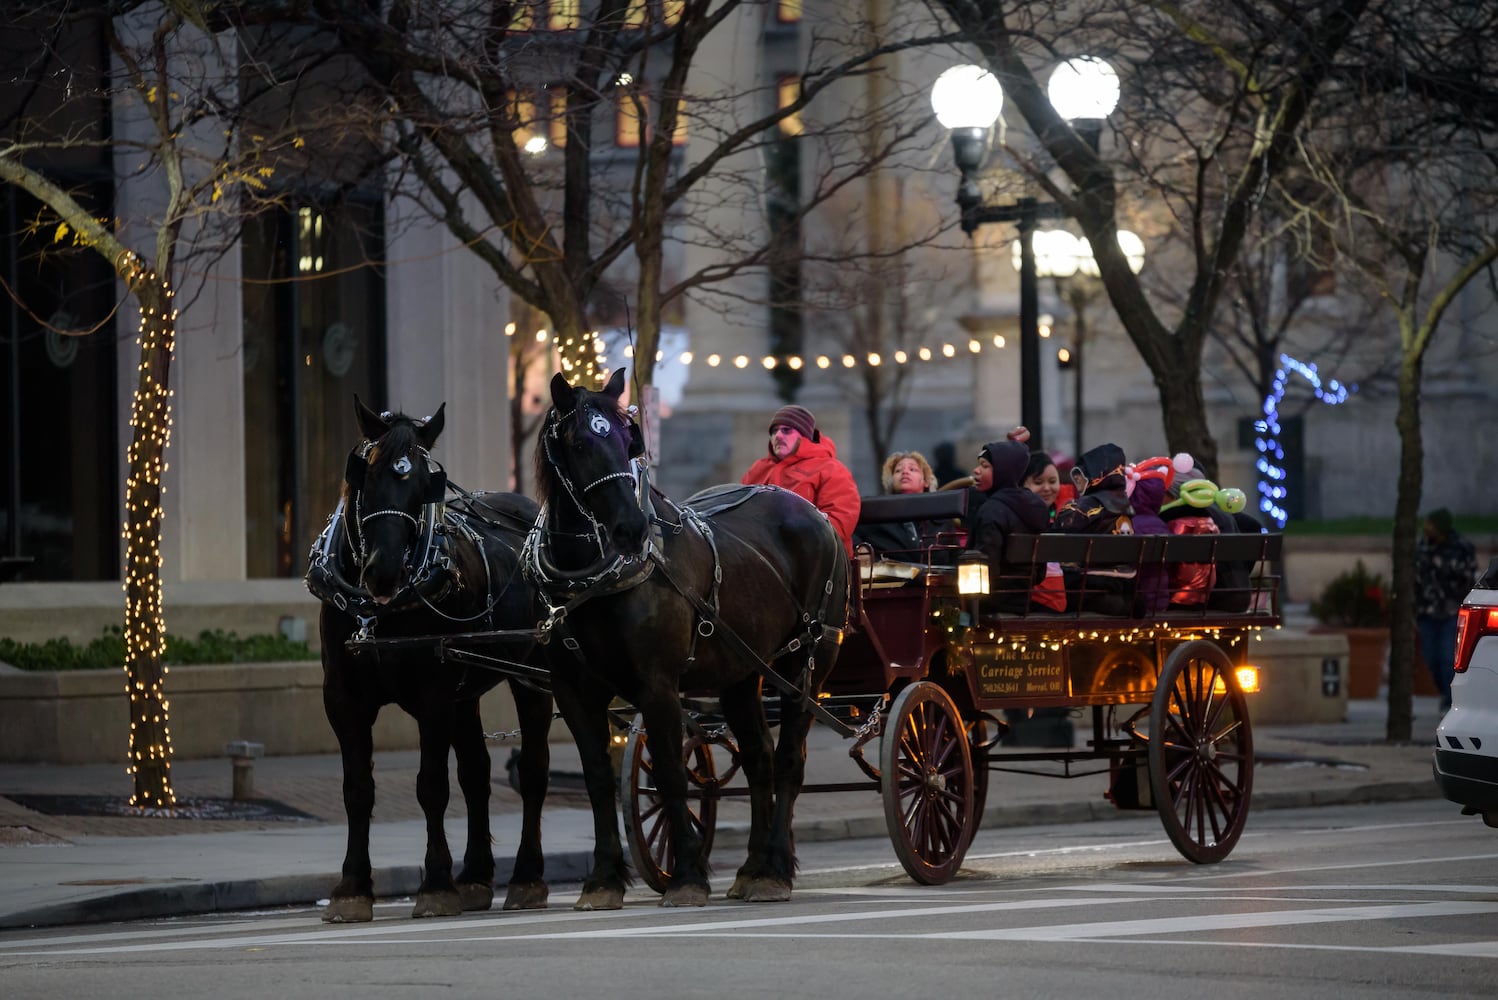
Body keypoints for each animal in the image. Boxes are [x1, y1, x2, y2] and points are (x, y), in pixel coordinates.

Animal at [307, 395, 554, 922]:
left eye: (425, 485)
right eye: (367, 476)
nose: (381, 571)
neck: (377, 613)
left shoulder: (434, 696)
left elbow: (432, 786)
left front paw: (436, 884)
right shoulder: (343, 699)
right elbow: (357, 790)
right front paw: (352, 887)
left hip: (534, 675)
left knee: (533, 770)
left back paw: (526, 876)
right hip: (468, 688)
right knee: (477, 773)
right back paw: (477, 876)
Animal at [533, 366, 850, 904]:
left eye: (628, 440)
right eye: (577, 443)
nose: (631, 528)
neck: (594, 582)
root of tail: (818, 516)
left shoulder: (657, 686)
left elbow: (670, 775)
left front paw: (685, 876)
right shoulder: (572, 691)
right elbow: (597, 777)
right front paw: (603, 879)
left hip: (807, 662)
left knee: (789, 759)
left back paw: (775, 868)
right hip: (743, 674)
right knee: (760, 759)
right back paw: (752, 868)